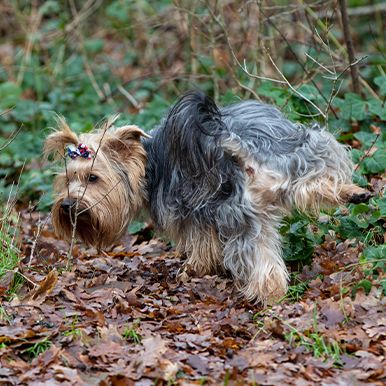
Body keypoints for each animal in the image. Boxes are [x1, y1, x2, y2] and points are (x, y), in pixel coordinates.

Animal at [43, 92, 370, 304]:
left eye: (93, 178)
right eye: (68, 180)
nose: (68, 205)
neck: (150, 163)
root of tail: (235, 143)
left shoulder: (191, 210)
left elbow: (202, 243)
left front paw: (195, 268)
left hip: (238, 210)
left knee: (258, 256)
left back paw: (269, 294)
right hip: (302, 151)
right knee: (315, 181)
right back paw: (353, 193)